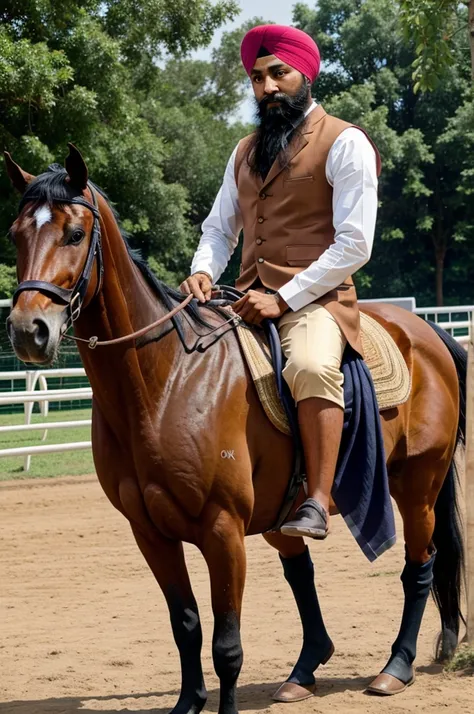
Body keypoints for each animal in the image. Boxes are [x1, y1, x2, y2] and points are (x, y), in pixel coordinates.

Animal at [2, 147, 462, 708]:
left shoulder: (222, 531)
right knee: (301, 571)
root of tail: (429, 333)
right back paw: (303, 674)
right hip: (287, 513)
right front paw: (187, 704)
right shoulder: (149, 533)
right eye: (16, 234)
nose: (28, 331)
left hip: (417, 488)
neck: (167, 380)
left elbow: (226, 645)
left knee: (420, 567)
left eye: (73, 233)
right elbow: (186, 625)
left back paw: (396, 667)